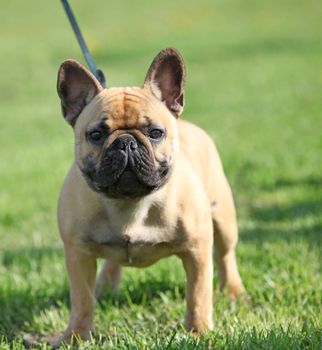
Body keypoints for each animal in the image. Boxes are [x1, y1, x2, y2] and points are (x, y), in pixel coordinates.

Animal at [56, 47, 244, 344]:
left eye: (155, 133)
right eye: (96, 134)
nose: (126, 142)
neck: (129, 202)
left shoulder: (197, 250)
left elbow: (198, 295)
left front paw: (198, 331)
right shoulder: (78, 255)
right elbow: (82, 300)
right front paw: (76, 336)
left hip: (224, 219)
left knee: (226, 256)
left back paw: (235, 291)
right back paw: (106, 287)